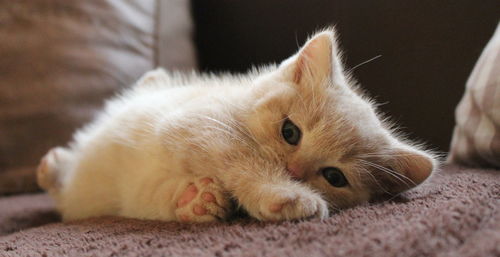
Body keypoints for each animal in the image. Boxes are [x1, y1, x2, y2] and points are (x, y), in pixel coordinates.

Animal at [38, 28, 438, 222]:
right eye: (290, 132)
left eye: (334, 177)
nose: (293, 171)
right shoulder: (195, 122)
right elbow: (242, 159)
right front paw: (284, 193)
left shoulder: (140, 192)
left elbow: (150, 199)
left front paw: (199, 202)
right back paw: (51, 165)